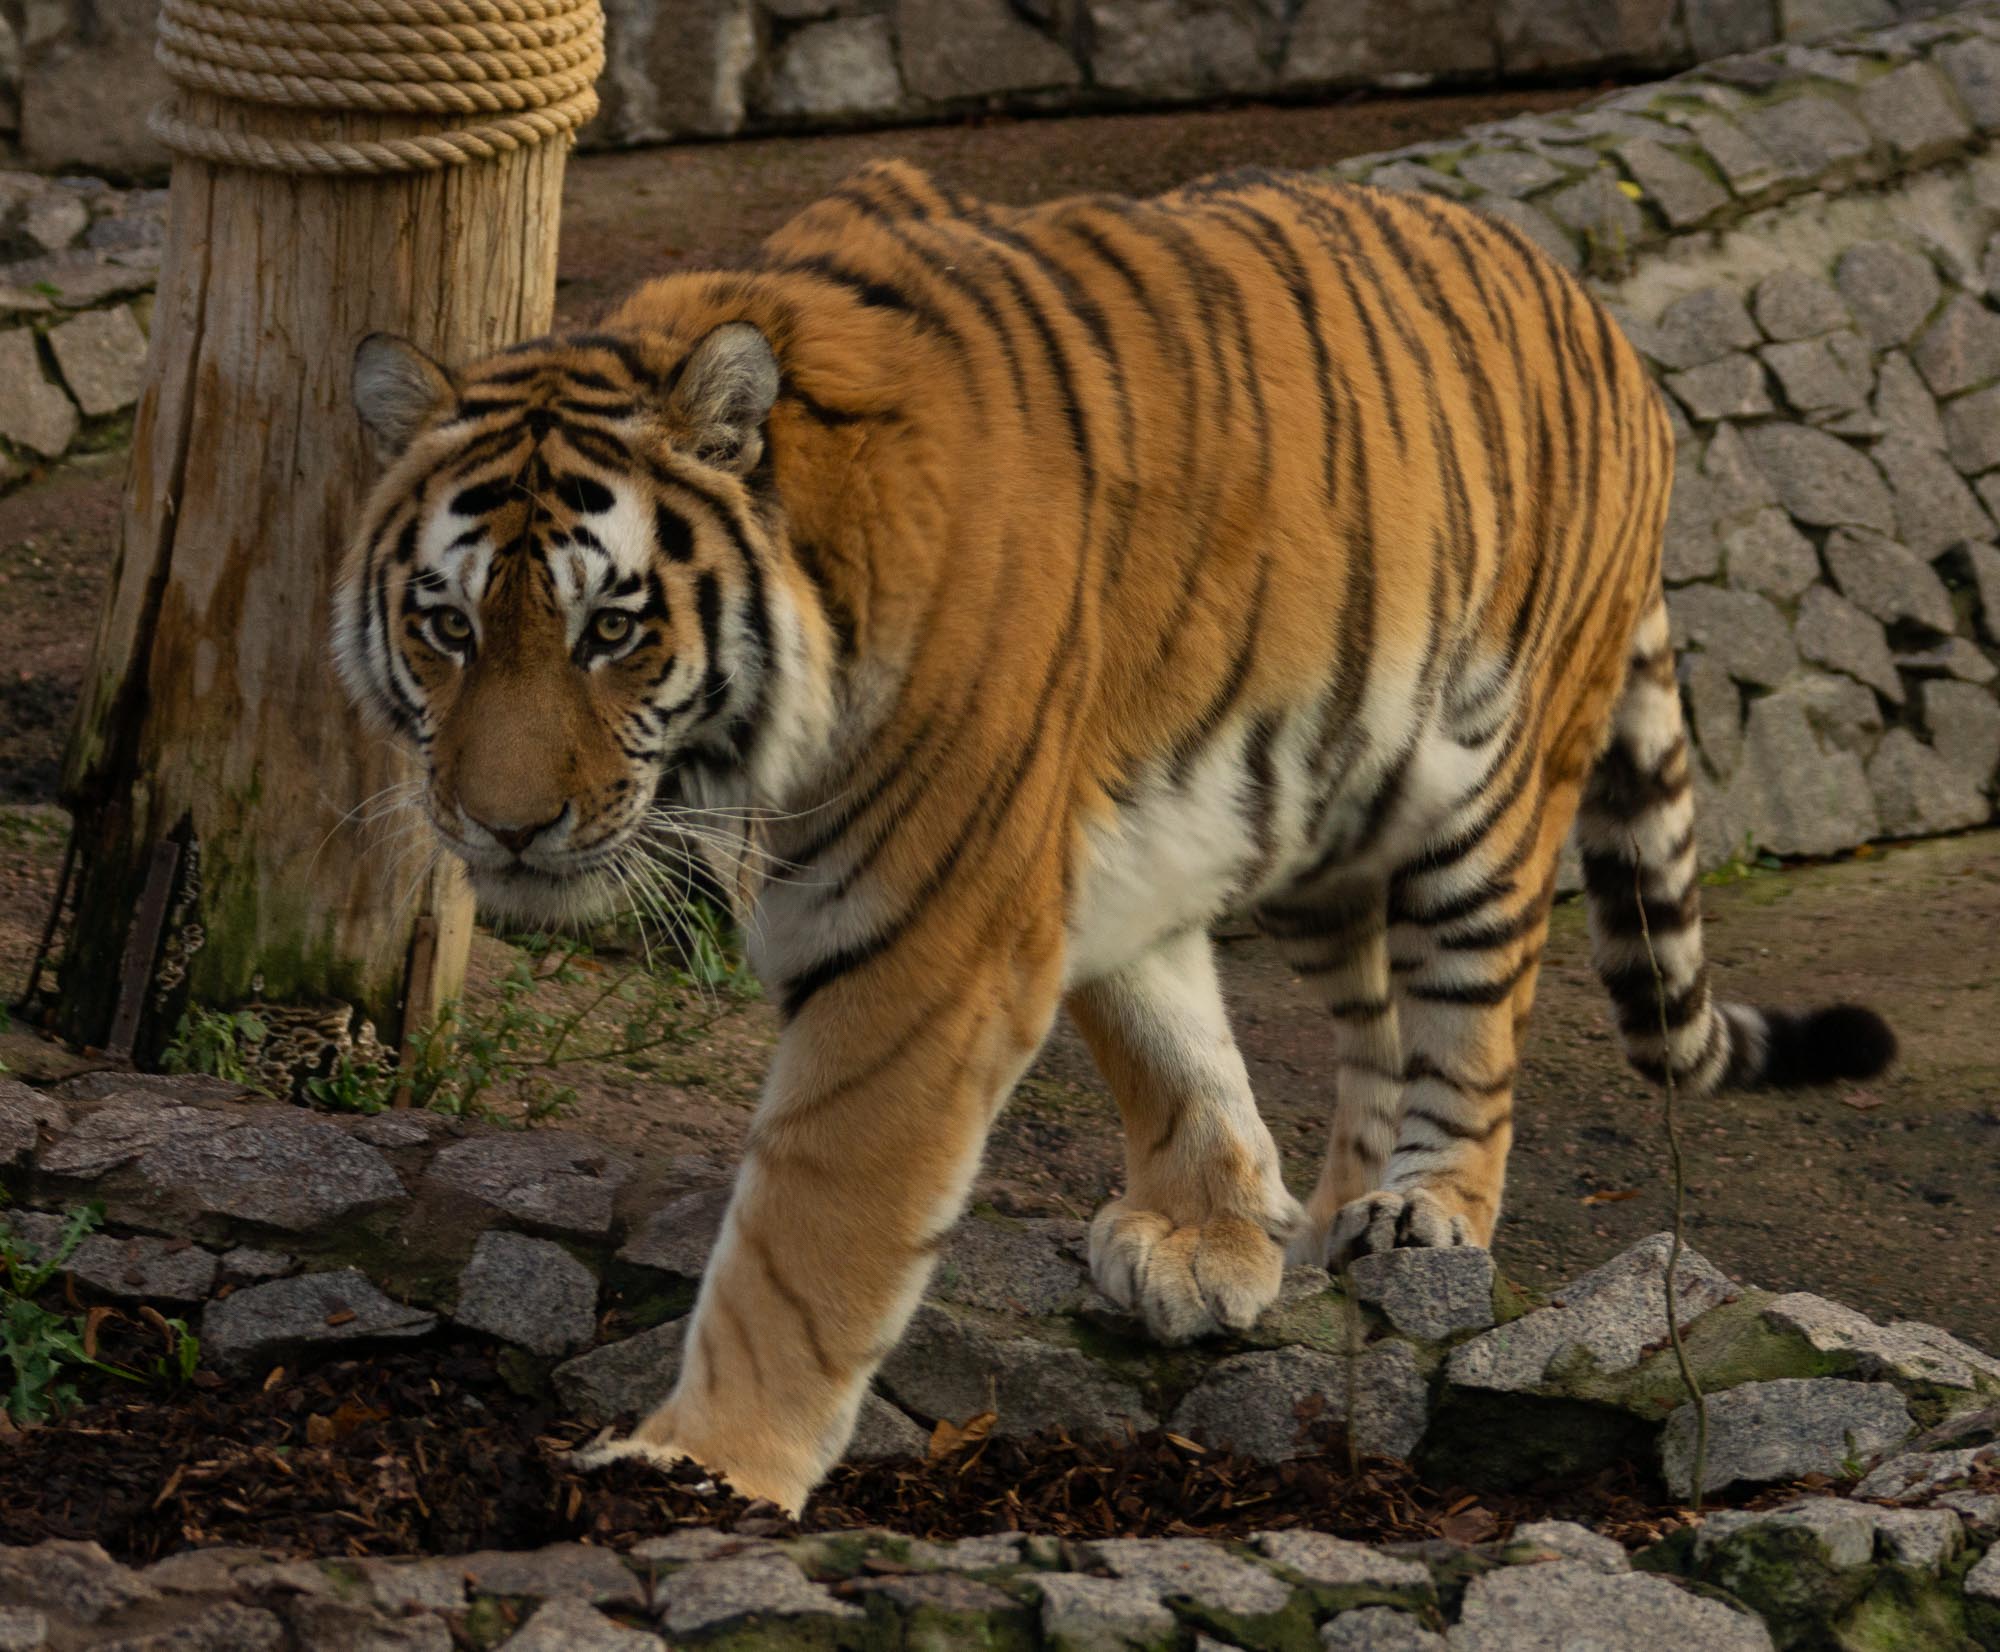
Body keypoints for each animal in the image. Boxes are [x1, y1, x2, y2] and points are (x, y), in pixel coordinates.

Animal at [332, 158, 1896, 1513]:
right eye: (447, 624)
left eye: (611, 628)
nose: (501, 824)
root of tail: (1602, 318)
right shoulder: (1091, 838)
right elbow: (1160, 1028)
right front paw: (1214, 1237)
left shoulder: (928, 928)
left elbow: (806, 1233)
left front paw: (701, 1466)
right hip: (1317, 801)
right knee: (1372, 1024)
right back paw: (1339, 1214)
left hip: (1488, 780)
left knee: (1471, 1019)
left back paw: (1427, 1210)